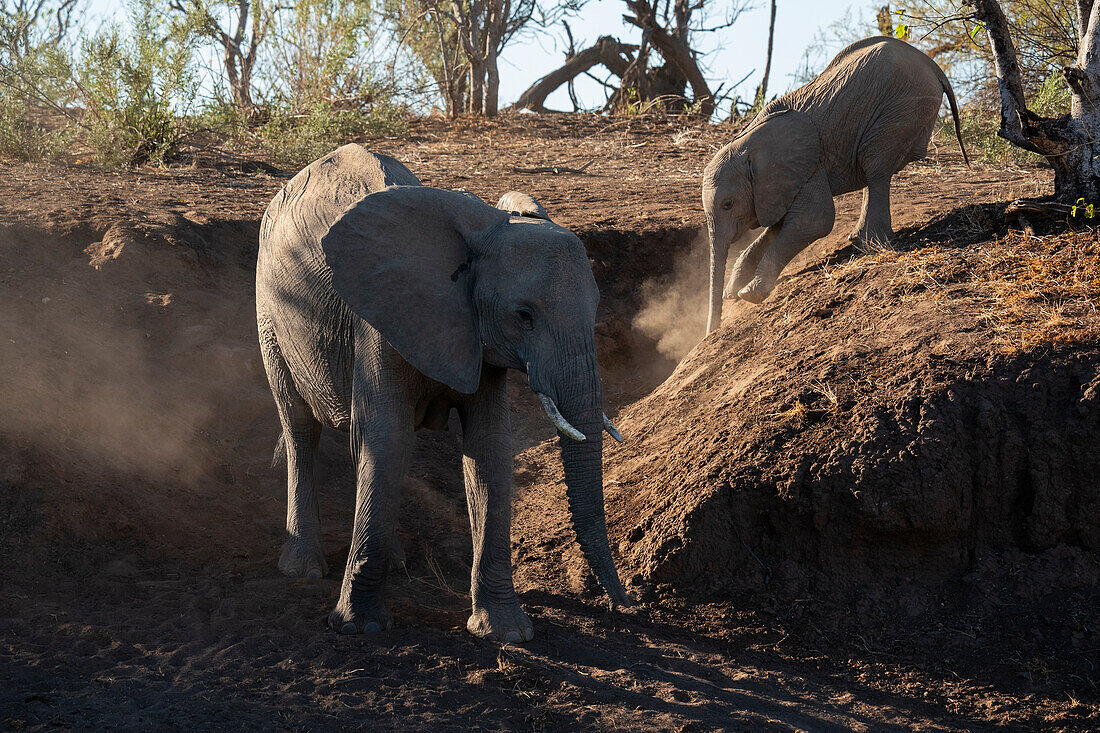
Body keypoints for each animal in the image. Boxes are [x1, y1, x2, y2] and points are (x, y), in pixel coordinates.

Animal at [255, 144, 629, 638]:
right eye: (524, 315)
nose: (625, 606)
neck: (485, 230)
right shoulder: (381, 321)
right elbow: (389, 439)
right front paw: (359, 627)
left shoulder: (475, 334)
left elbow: (487, 449)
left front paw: (506, 633)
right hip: (268, 311)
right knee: (300, 426)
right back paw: (302, 568)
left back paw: (393, 558)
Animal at [699, 36, 968, 327]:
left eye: (727, 204)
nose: (710, 332)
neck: (746, 145)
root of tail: (933, 65)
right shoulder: (782, 182)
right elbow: (777, 228)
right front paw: (732, 291)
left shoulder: (809, 164)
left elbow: (814, 221)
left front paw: (749, 294)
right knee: (874, 170)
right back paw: (858, 237)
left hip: (903, 107)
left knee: (875, 164)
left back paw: (869, 244)